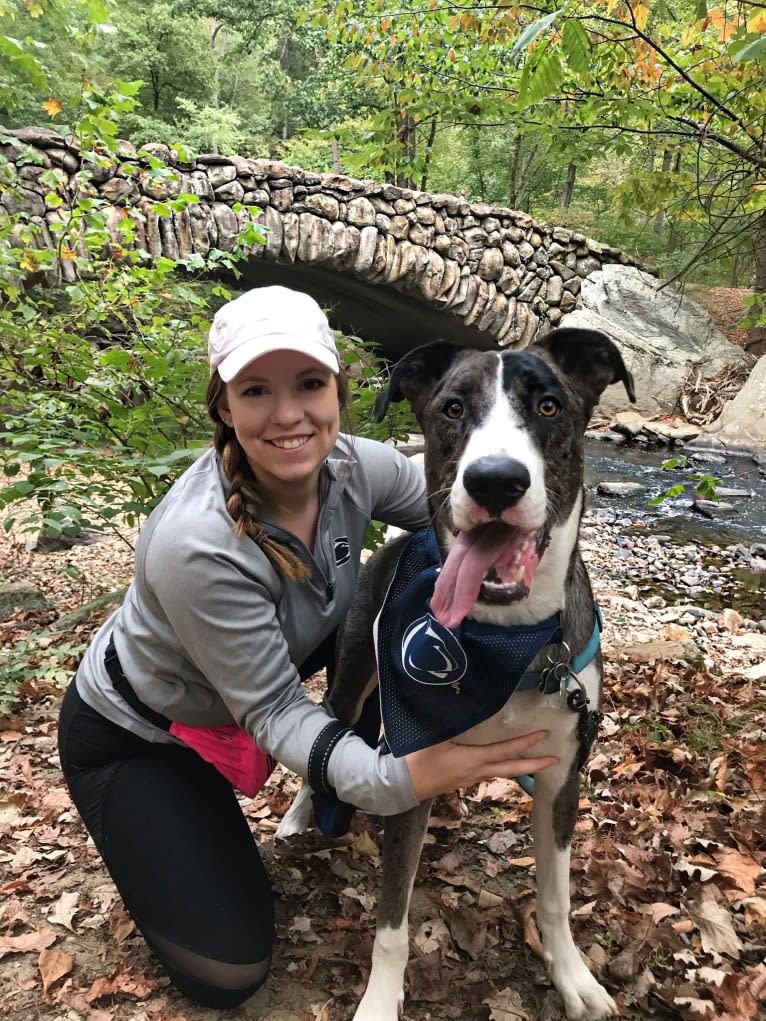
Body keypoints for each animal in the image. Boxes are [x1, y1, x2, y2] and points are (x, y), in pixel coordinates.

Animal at [279, 326, 637, 1021]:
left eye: (549, 405)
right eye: (451, 408)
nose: (495, 481)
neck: (508, 638)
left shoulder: (562, 778)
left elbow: (555, 897)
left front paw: (572, 976)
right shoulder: (411, 773)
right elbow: (391, 925)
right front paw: (379, 1002)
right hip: (352, 677)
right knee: (326, 735)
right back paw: (298, 816)